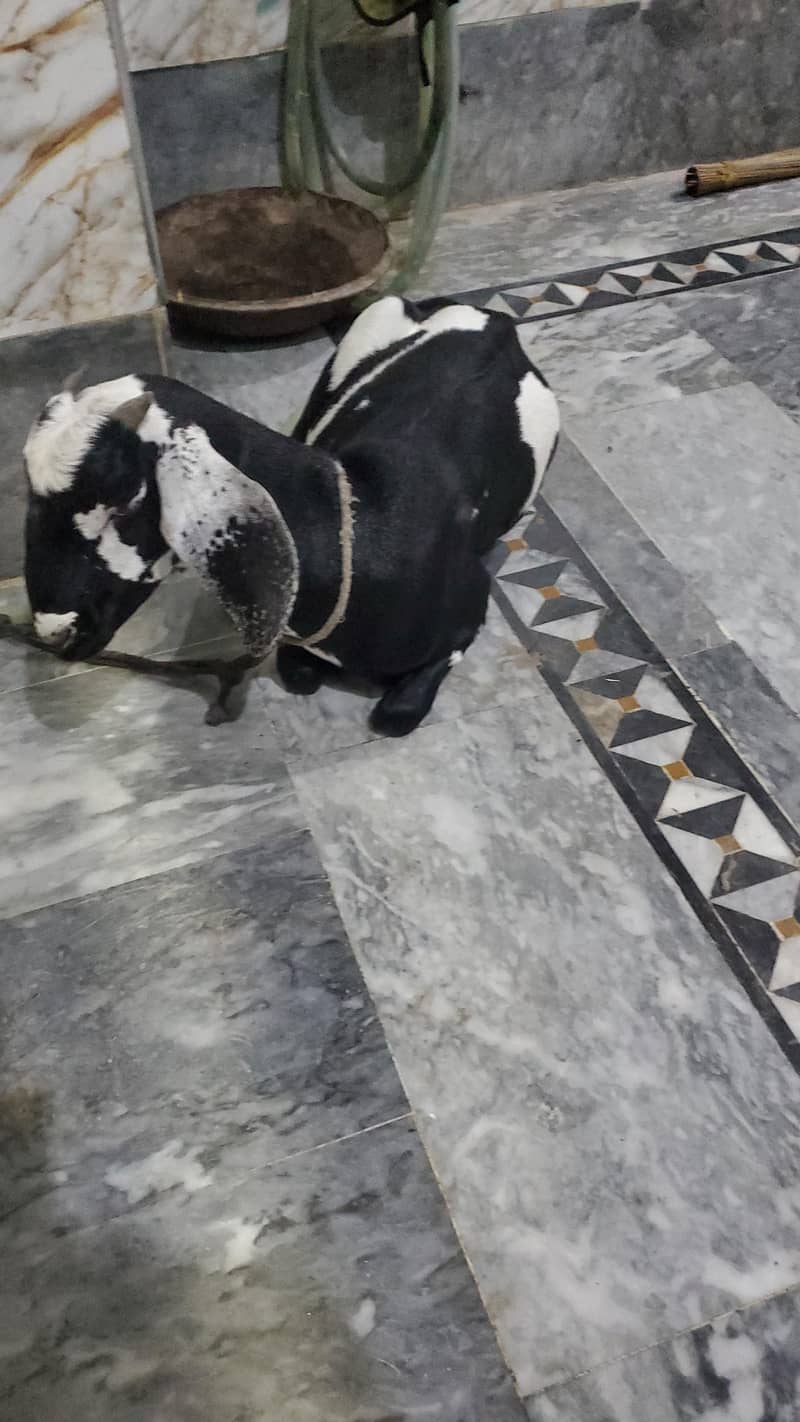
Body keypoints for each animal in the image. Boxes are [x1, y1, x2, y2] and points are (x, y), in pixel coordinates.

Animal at [22, 296, 559, 736]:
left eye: (124, 502)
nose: (55, 631)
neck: (362, 518)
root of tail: (494, 321)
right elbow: (299, 672)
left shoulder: (470, 608)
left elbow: (396, 715)